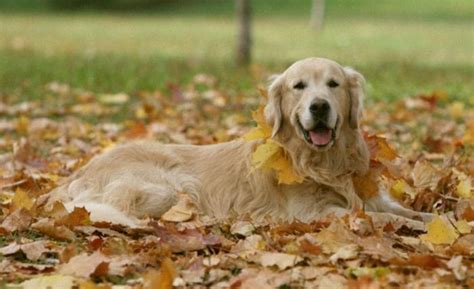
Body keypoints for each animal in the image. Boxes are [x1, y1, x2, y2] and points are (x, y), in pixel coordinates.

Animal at [47, 56, 430, 227]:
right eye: (299, 86)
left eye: (333, 84)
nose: (319, 106)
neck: (323, 162)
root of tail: (76, 175)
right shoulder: (314, 213)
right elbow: (384, 219)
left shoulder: (372, 196)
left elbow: (412, 212)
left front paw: (435, 221)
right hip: (173, 187)